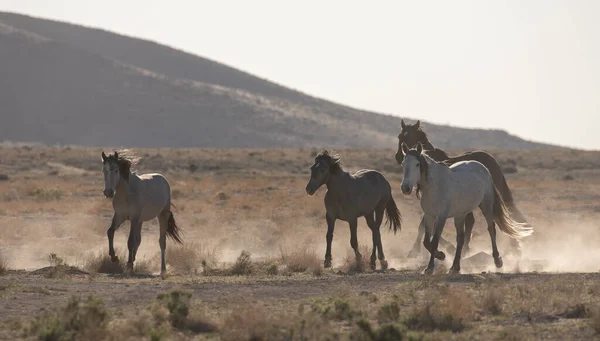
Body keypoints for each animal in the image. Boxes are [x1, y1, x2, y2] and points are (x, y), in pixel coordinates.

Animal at [396, 119, 532, 258]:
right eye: (400, 137)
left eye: (409, 137)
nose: (398, 156)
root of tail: (491, 159)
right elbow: (425, 227)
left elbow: (424, 226)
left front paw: (417, 250)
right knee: (476, 220)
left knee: (506, 213)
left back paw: (514, 247)